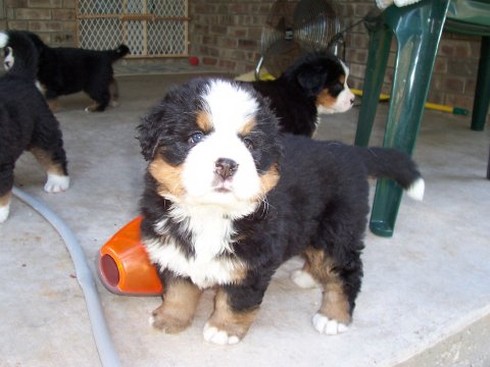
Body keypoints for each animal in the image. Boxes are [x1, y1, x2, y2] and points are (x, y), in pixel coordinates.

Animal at [136, 77, 424, 344]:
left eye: (249, 143)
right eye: (195, 136)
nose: (227, 164)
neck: (211, 214)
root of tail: (353, 153)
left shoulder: (253, 261)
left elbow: (236, 300)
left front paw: (224, 329)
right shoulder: (171, 250)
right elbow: (178, 290)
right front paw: (170, 318)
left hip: (339, 230)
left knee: (346, 271)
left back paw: (333, 316)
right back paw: (308, 276)